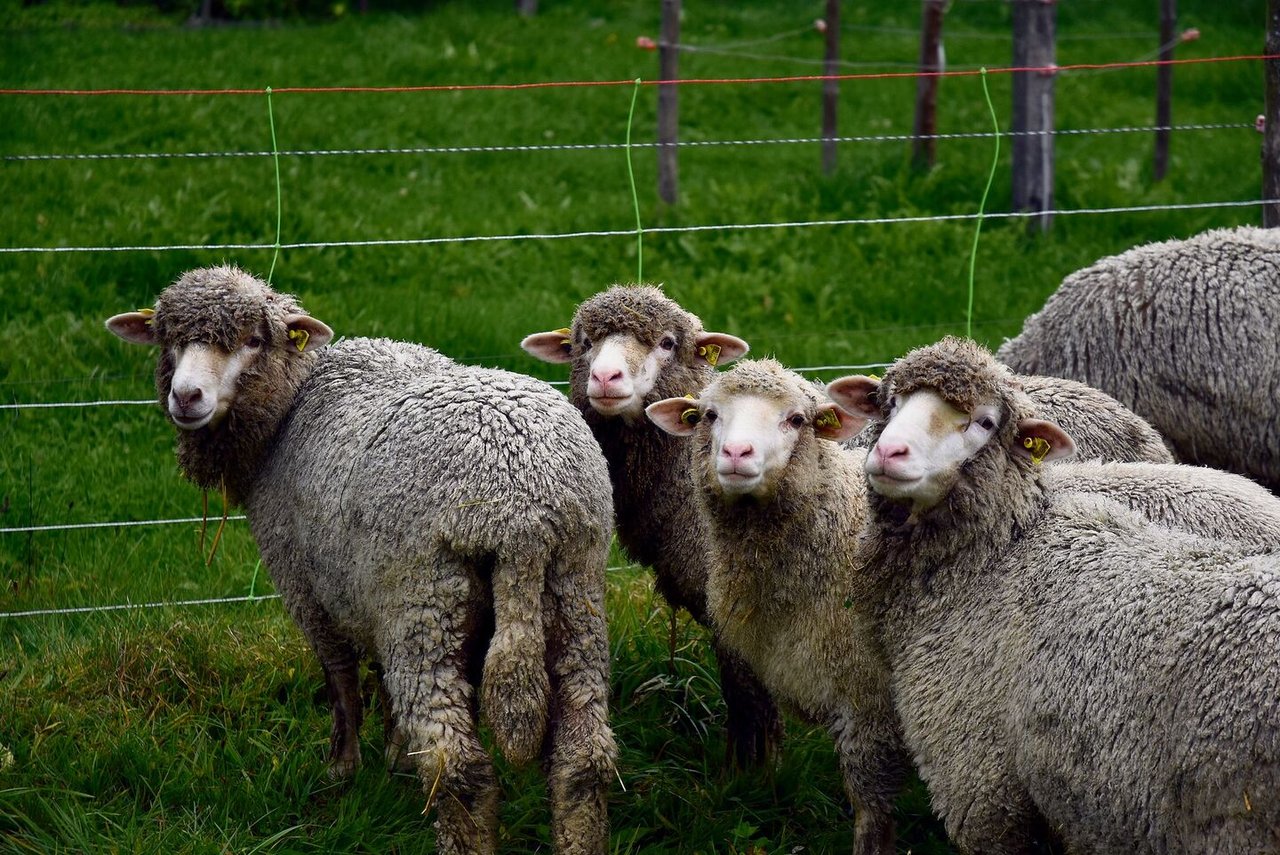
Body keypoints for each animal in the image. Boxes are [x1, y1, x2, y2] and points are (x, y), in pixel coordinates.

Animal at [104, 264, 614, 855]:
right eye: (168, 338)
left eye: (253, 340)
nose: (186, 397)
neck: (288, 407)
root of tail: (524, 506)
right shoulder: (366, 591)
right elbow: (379, 679)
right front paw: (394, 754)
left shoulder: (306, 589)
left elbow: (341, 680)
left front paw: (343, 768)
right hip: (573, 593)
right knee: (583, 759)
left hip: (424, 605)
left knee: (459, 768)